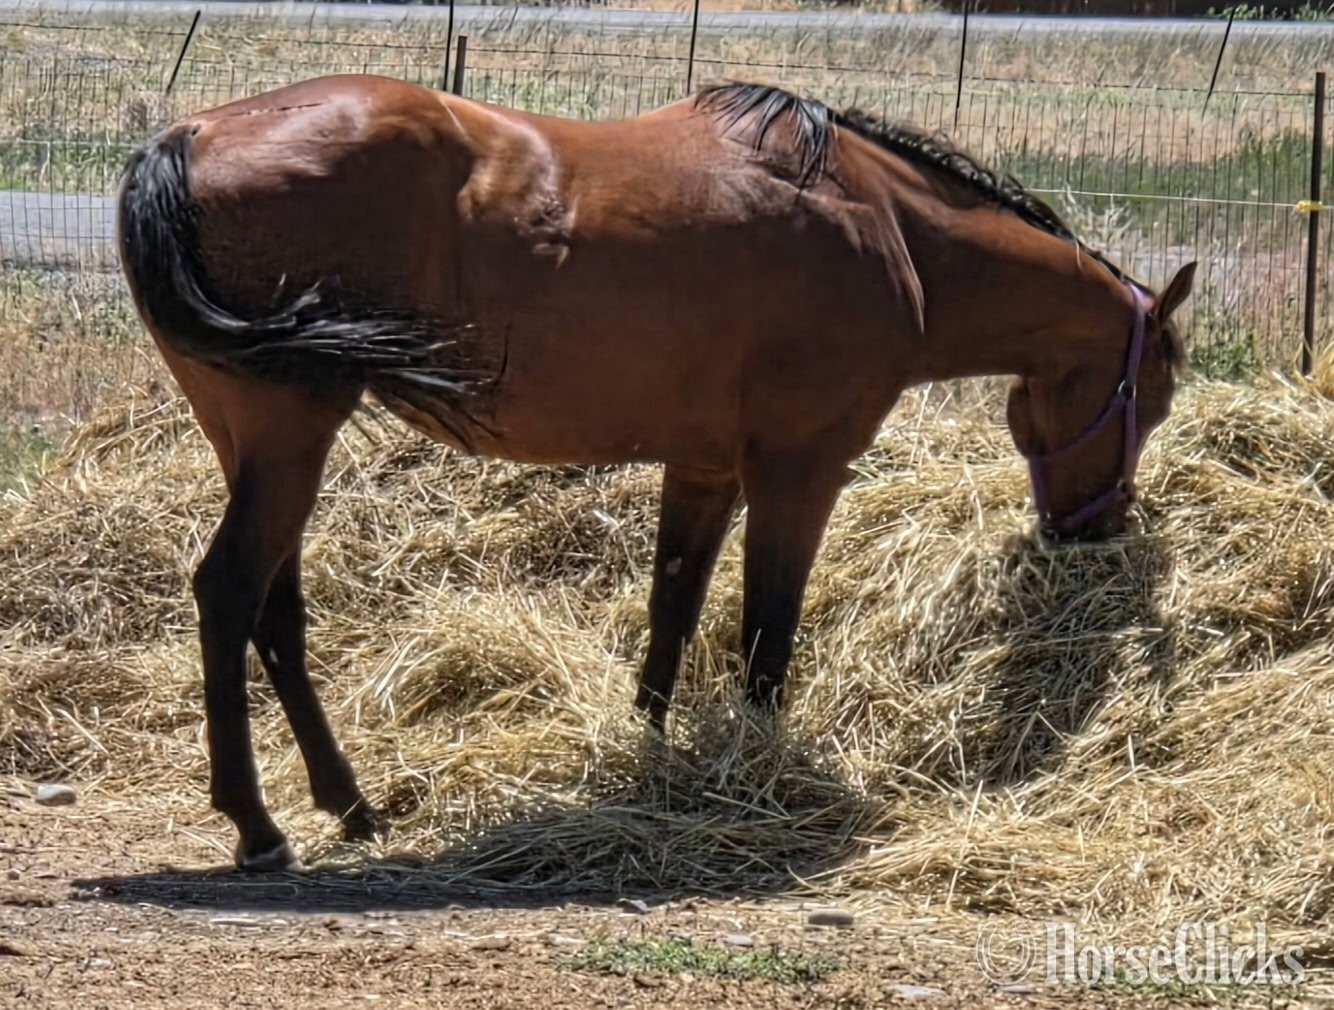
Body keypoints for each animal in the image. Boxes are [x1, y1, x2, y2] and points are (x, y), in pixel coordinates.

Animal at [116, 76, 1194, 871]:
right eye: (1156, 392)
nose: (1096, 525)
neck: (885, 223)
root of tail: (187, 137)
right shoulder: (800, 468)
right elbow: (766, 629)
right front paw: (754, 774)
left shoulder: (705, 466)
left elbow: (671, 610)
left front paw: (645, 757)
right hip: (290, 436)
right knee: (229, 592)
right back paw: (258, 826)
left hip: (256, 441)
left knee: (276, 614)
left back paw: (351, 805)